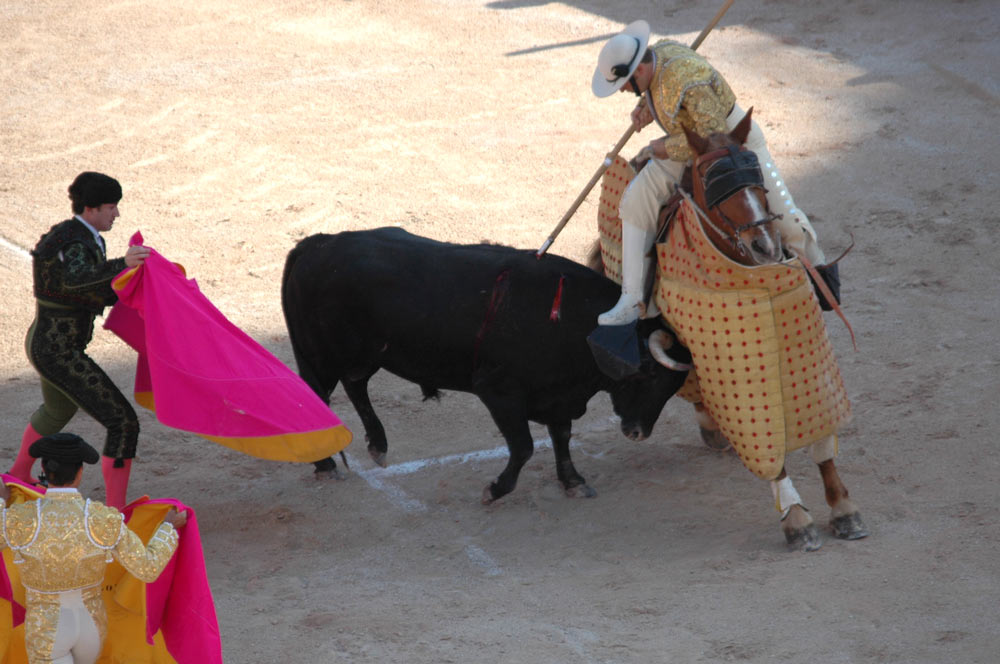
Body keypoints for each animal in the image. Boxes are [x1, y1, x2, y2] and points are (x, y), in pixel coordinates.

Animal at [278, 228, 692, 504]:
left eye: (672, 388)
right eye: (649, 375)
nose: (638, 432)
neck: (577, 324)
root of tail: (316, 243)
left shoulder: (558, 397)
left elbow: (561, 438)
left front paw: (573, 481)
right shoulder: (499, 393)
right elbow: (524, 446)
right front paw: (494, 489)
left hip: (364, 355)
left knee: (355, 385)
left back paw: (378, 446)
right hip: (319, 357)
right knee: (315, 396)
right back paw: (325, 463)